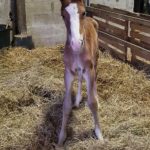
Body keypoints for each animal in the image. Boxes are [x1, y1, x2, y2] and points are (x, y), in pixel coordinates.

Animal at [58, 0, 103, 145]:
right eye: (63, 15)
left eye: (83, 12)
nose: (76, 44)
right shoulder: (68, 72)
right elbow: (66, 105)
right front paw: (61, 137)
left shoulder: (89, 70)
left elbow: (92, 103)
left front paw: (99, 133)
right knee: (79, 78)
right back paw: (77, 99)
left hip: (96, 59)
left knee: (95, 78)